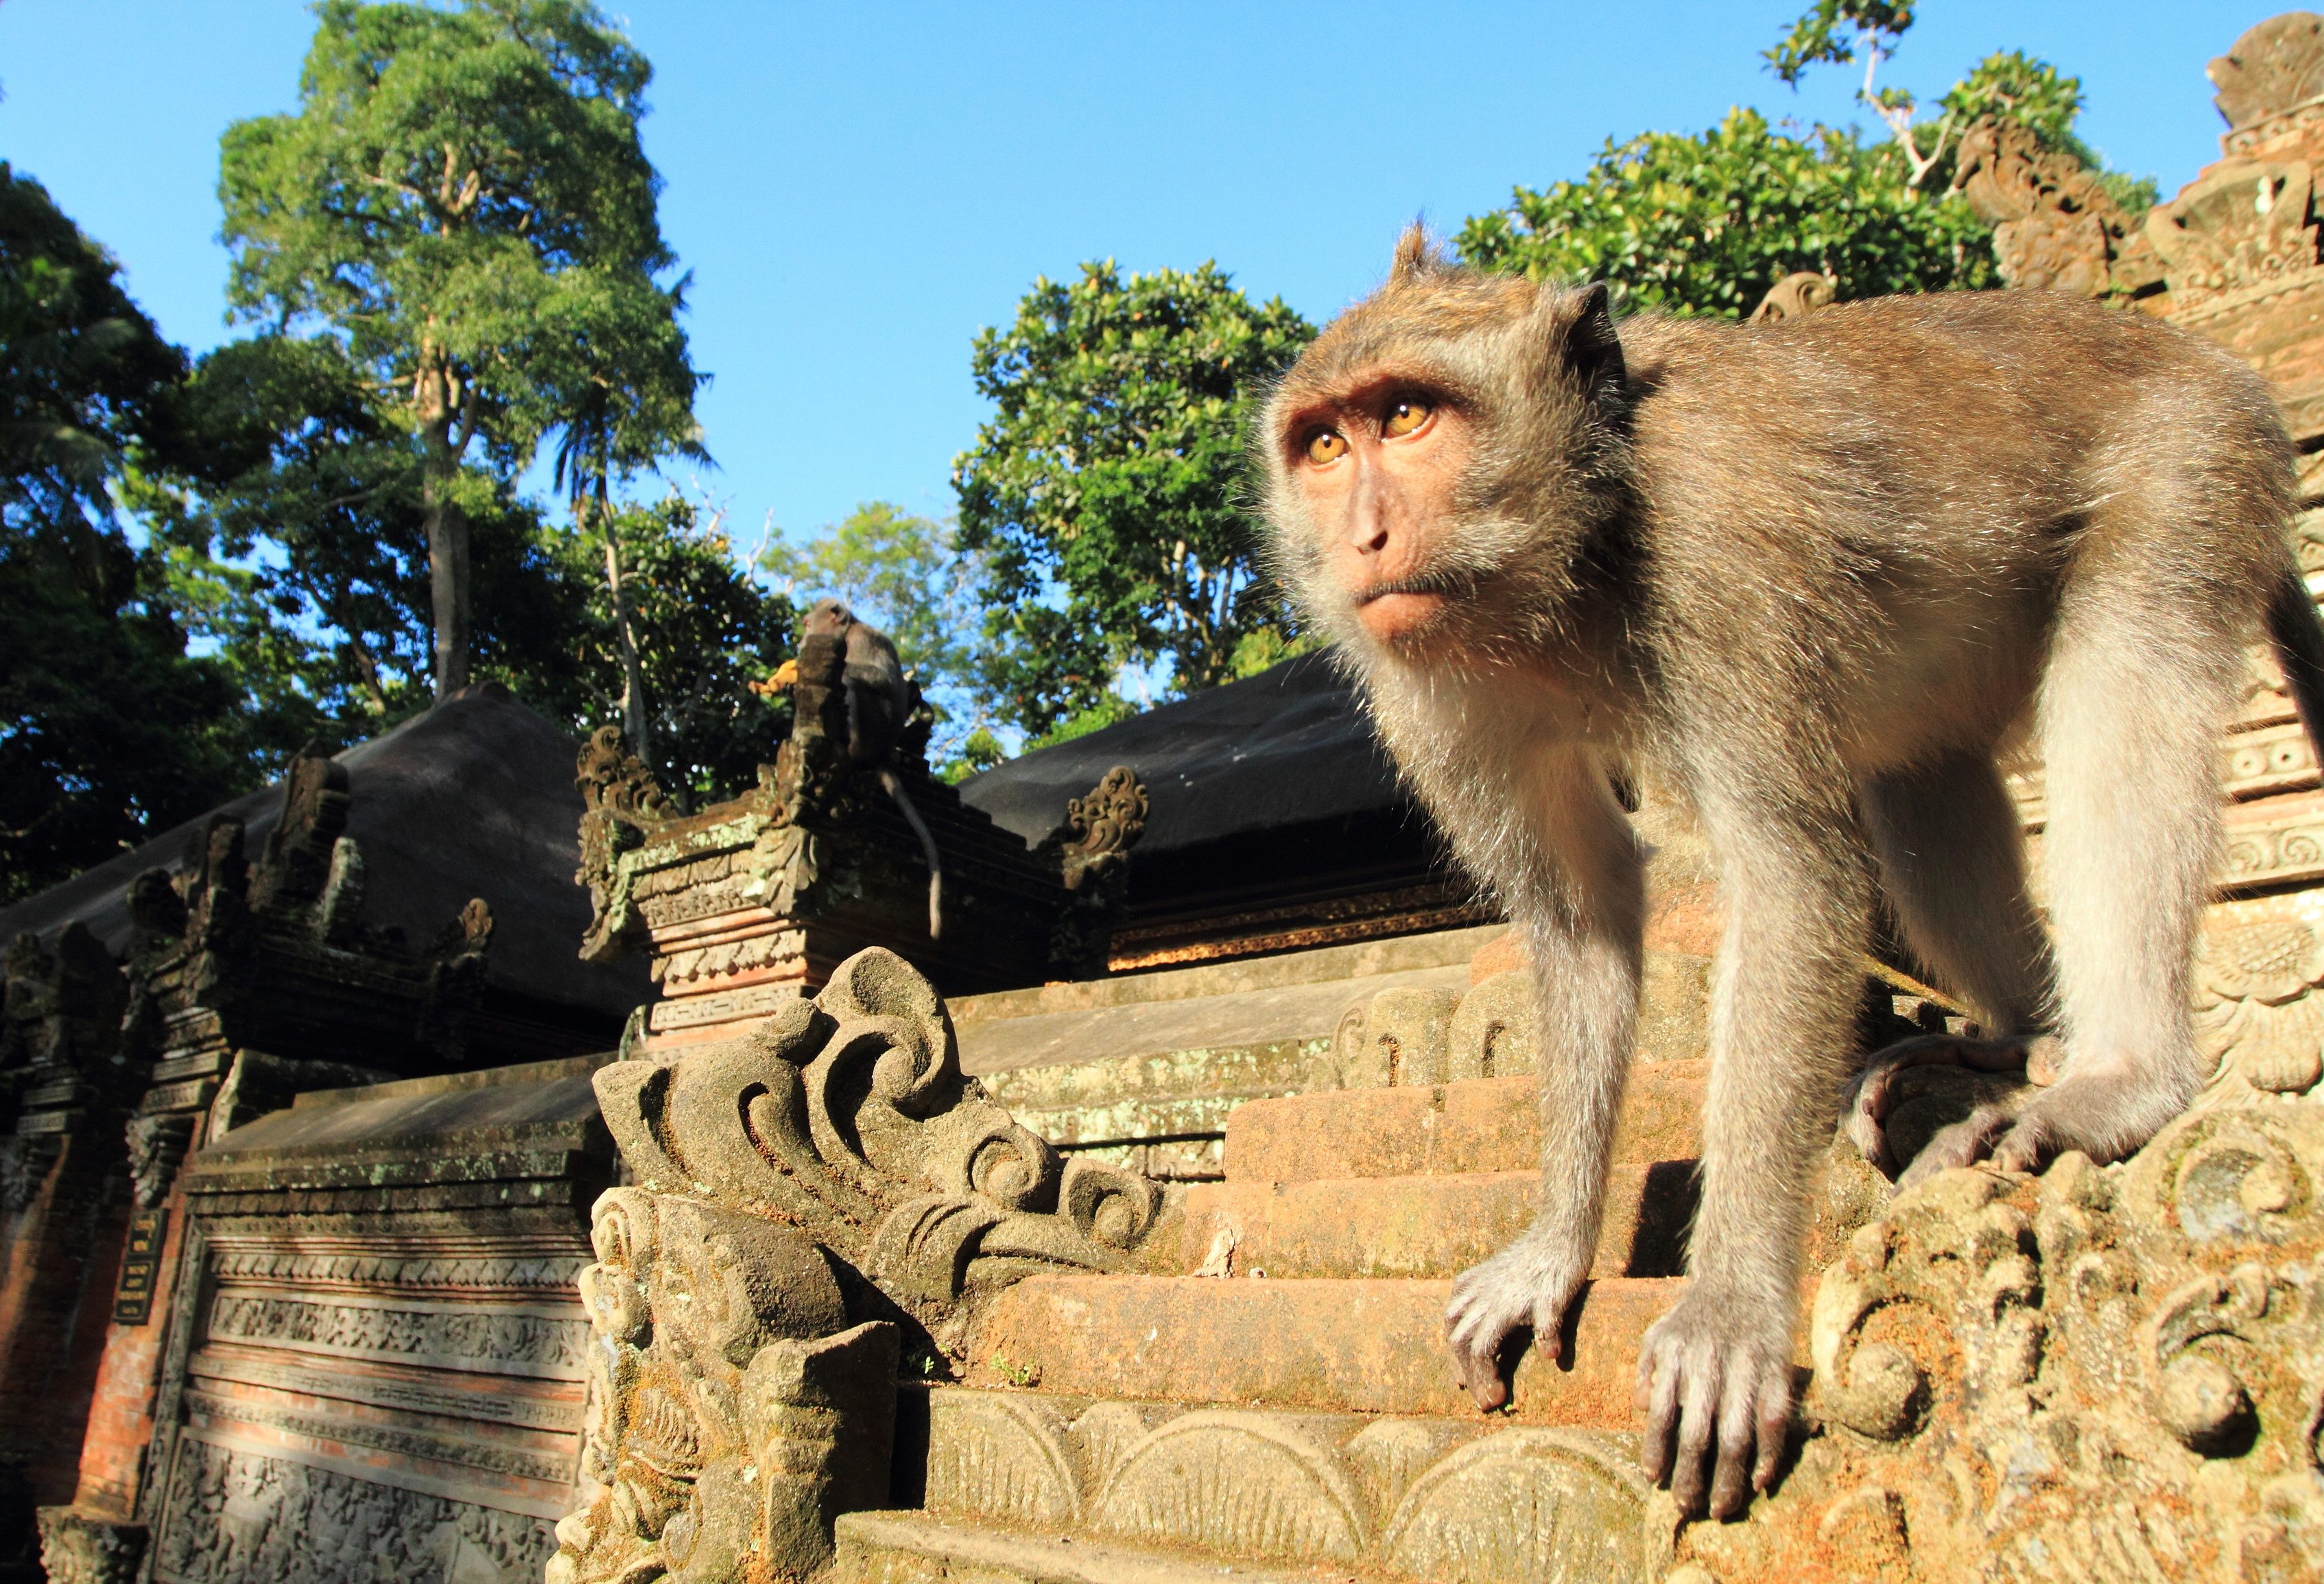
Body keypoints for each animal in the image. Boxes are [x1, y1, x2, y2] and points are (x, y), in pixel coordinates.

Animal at [1259, 226, 2324, 1520]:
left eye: (1408, 417)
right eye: (1324, 444)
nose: (1360, 538)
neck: (1578, 550)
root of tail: (2204, 358)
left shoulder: (1723, 538)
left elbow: (1787, 879)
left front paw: (1729, 1311)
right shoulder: (1426, 675)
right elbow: (1580, 917)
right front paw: (1555, 1246)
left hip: (2191, 461)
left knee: (2123, 685)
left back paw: (2122, 1074)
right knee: (1919, 776)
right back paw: (2015, 1033)